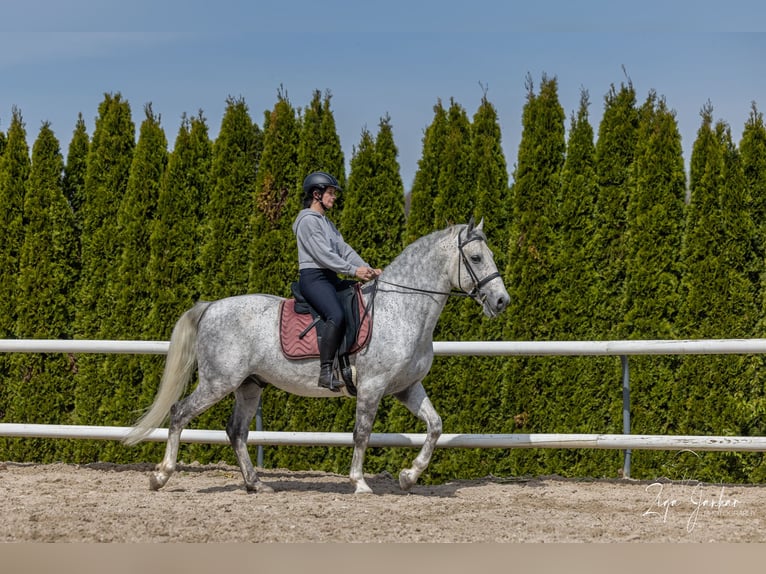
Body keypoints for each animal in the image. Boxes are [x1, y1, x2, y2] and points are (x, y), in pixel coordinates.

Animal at [124, 218, 510, 498]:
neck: (400, 309)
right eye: (477, 258)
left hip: (249, 386)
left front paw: (408, 476)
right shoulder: (372, 387)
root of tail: (211, 307)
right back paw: (161, 477)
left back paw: (255, 483)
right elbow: (362, 433)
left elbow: (436, 426)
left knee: (236, 431)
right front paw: (360, 483)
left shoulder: (407, 388)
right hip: (219, 382)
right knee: (179, 413)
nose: (501, 301)